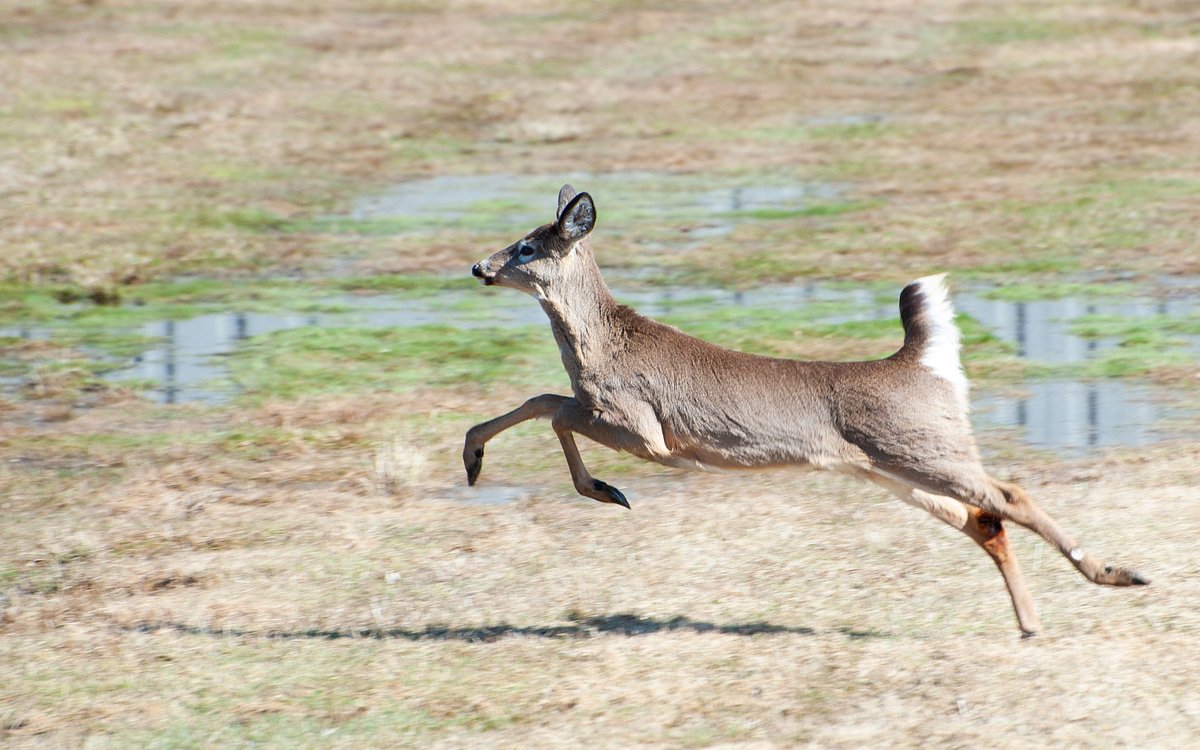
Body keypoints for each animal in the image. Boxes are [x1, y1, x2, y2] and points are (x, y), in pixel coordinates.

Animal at [463, 184, 1149, 636]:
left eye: (527, 247)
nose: (479, 266)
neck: (601, 344)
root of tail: (919, 363)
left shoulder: (644, 429)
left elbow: (553, 406)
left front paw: (604, 490)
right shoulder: (618, 419)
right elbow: (544, 399)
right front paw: (475, 461)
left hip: (920, 449)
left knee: (1009, 495)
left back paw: (1119, 574)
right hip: (891, 466)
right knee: (985, 520)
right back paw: (1032, 624)